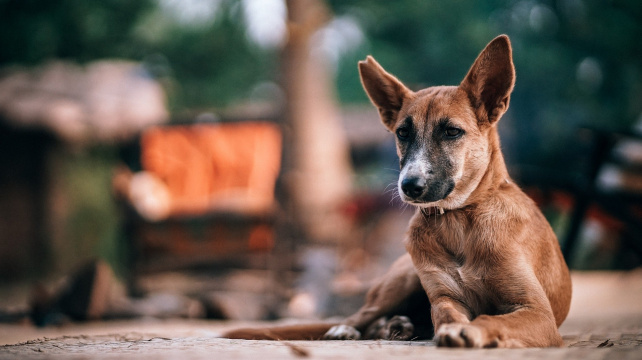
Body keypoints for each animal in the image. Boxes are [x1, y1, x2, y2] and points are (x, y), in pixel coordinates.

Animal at [221, 35, 568, 348]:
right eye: (403, 133)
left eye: (452, 131)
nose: (409, 186)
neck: (459, 220)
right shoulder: (444, 298)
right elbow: (447, 314)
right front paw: (453, 328)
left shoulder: (537, 312)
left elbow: (491, 318)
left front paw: (470, 331)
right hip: (403, 280)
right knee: (361, 315)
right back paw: (354, 328)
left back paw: (396, 327)